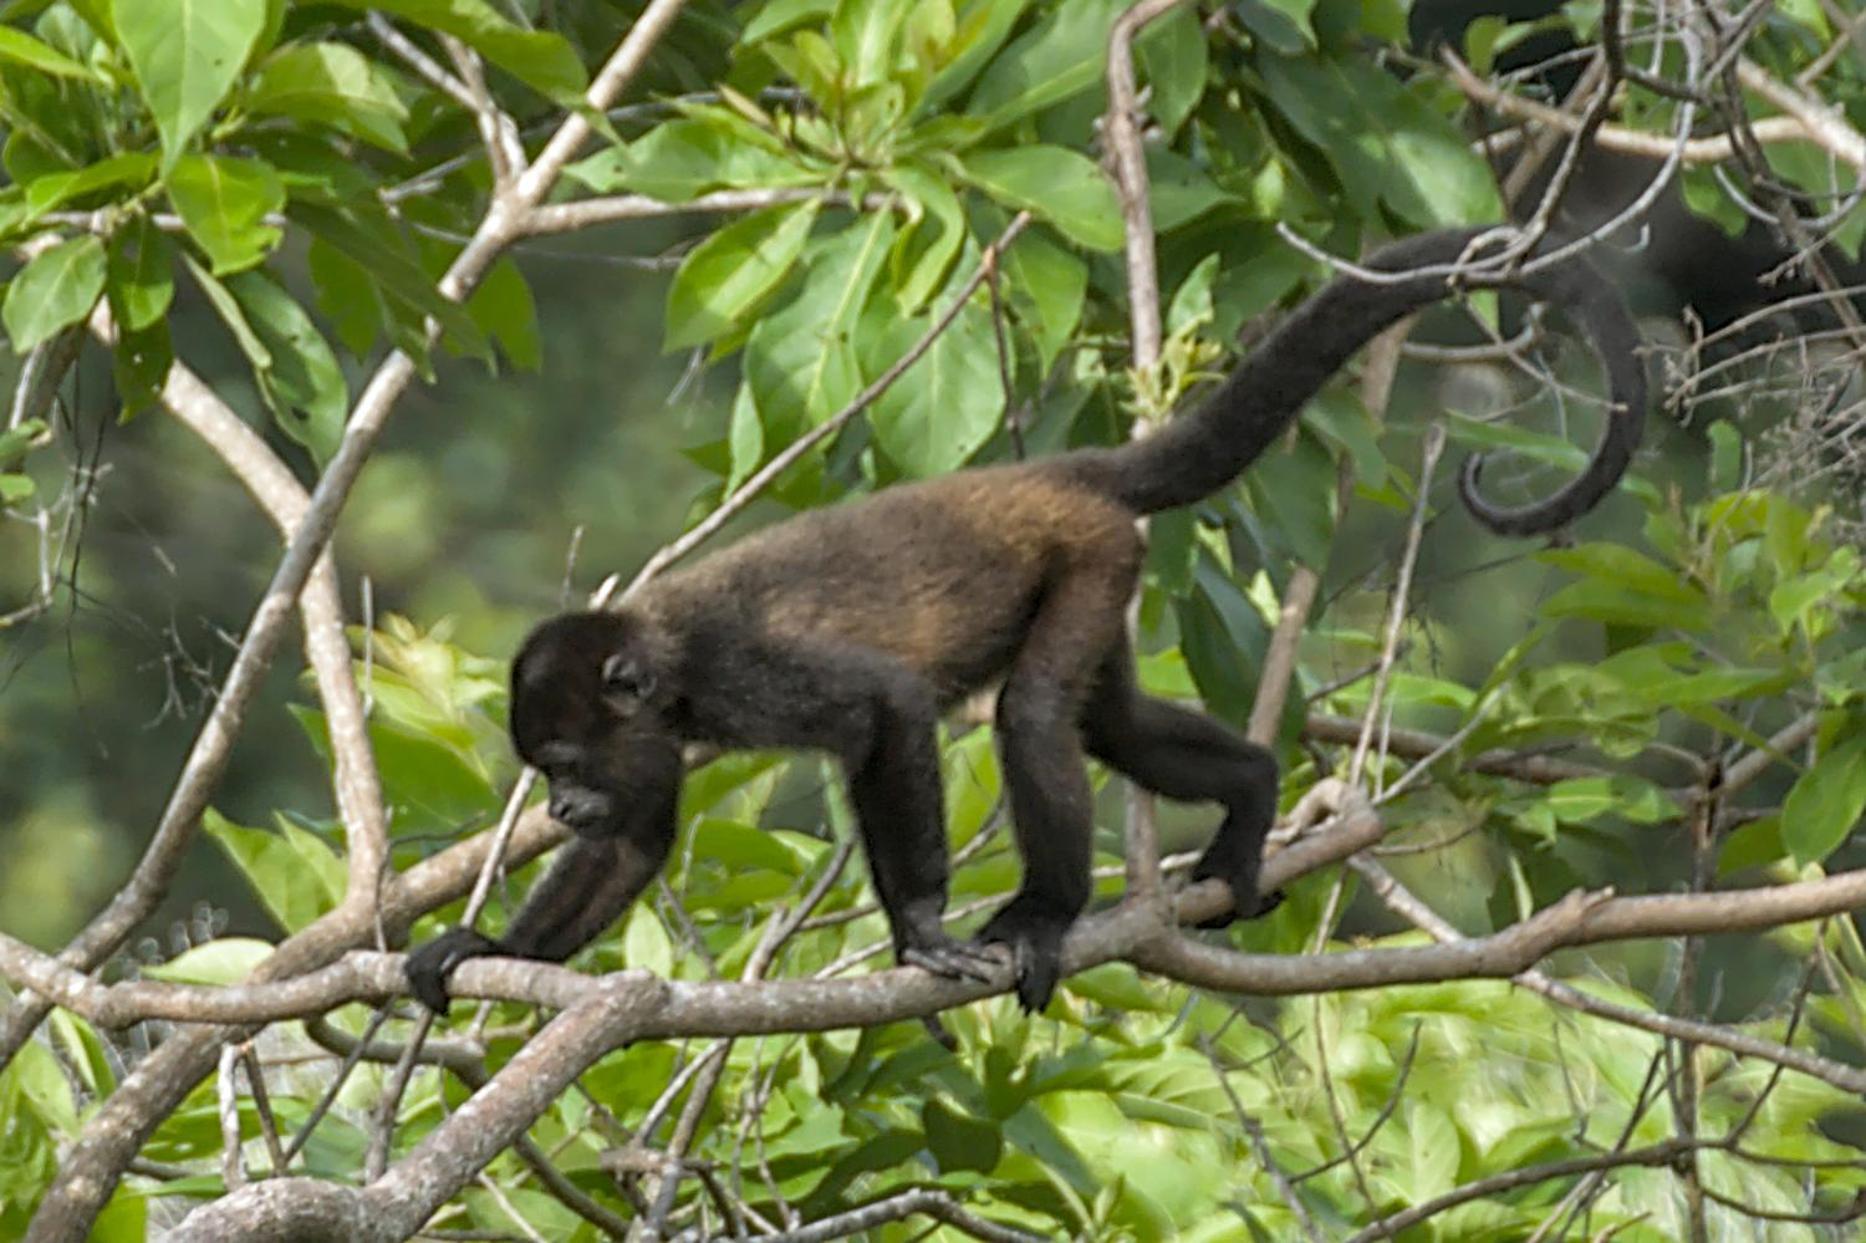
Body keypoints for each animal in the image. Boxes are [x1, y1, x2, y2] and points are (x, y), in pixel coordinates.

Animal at [408, 227, 1649, 1015]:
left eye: (561, 760)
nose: (555, 805)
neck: (661, 665)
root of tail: (1063, 474)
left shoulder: (742, 670)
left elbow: (887, 710)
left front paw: (922, 931)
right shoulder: (660, 737)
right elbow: (635, 842)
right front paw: (493, 944)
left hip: (1091, 561)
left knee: (1041, 715)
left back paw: (1048, 913)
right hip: (1109, 574)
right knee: (1113, 722)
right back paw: (1251, 796)